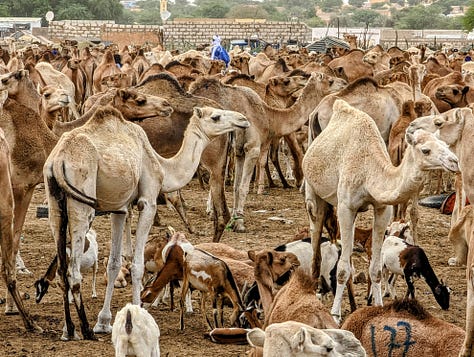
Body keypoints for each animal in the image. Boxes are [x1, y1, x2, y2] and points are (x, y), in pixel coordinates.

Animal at [44, 103, 250, 340]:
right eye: (216, 117)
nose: (243, 120)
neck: (161, 166)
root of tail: (58, 160)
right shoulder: (148, 202)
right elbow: (137, 264)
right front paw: (136, 315)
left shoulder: (120, 208)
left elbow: (114, 263)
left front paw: (103, 322)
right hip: (81, 202)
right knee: (73, 270)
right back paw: (85, 331)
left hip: (54, 202)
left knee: (62, 269)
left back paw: (69, 330)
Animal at [190, 73, 348, 234]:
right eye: (330, 80)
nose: (344, 82)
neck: (268, 116)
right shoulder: (252, 148)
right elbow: (243, 187)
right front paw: (240, 223)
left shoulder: (239, 152)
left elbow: (236, 187)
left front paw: (234, 219)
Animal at [302, 98, 462, 324]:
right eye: (426, 150)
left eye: (445, 145)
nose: (454, 162)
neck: (370, 173)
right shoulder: (346, 207)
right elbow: (342, 269)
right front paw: (335, 315)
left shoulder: (382, 209)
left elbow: (377, 269)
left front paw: (378, 307)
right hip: (313, 191)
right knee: (315, 235)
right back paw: (316, 292)